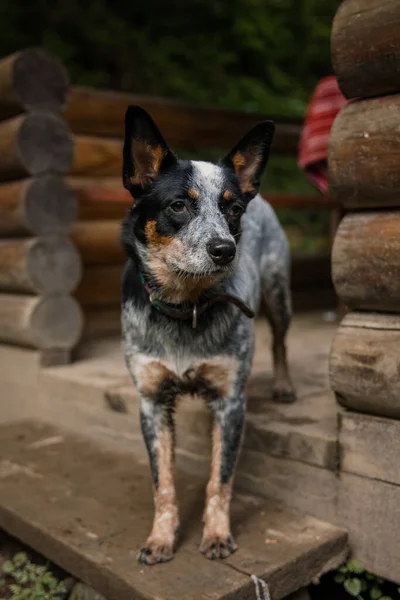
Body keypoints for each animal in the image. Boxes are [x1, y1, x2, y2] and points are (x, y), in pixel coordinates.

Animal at [120, 104, 296, 568]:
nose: (225, 250)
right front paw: (160, 539)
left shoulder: (231, 403)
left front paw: (217, 535)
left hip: (279, 293)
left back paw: (285, 386)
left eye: (232, 210)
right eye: (179, 205)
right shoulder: (151, 402)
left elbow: (220, 479)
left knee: (280, 340)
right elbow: (163, 482)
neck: (187, 308)